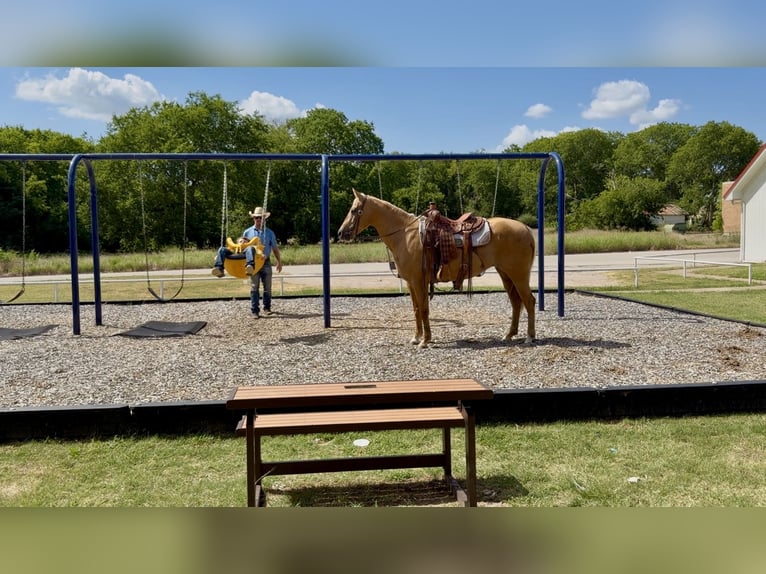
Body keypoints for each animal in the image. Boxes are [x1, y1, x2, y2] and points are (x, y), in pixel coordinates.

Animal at [337, 188, 536, 348]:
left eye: (354, 210)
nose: (341, 233)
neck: (406, 235)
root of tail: (526, 228)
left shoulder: (419, 281)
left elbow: (424, 309)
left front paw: (425, 341)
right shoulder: (410, 283)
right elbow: (417, 309)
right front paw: (417, 338)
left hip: (519, 275)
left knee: (529, 301)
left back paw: (529, 337)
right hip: (506, 274)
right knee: (516, 303)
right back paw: (509, 335)